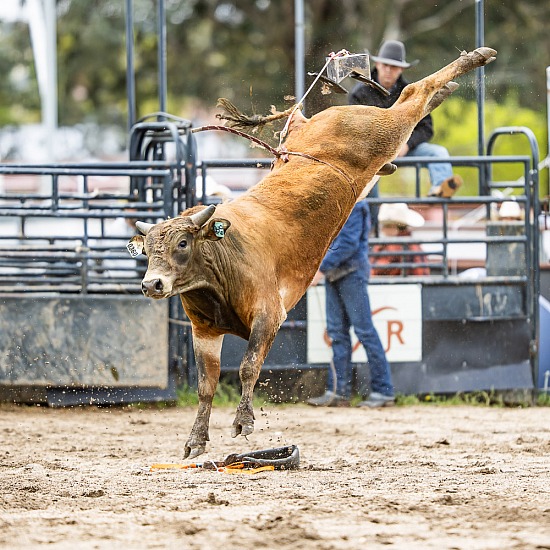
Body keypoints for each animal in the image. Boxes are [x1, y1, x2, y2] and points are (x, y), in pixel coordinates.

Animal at [129, 47, 500, 462]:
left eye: (182, 244)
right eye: (148, 250)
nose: (151, 284)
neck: (219, 264)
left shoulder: (269, 315)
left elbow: (248, 367)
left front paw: (244, 422)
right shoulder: (204, 330)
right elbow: (206, 384)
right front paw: (195, 439)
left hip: (386, 130)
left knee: (413, 94)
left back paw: (475, 58)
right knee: (409, 100)